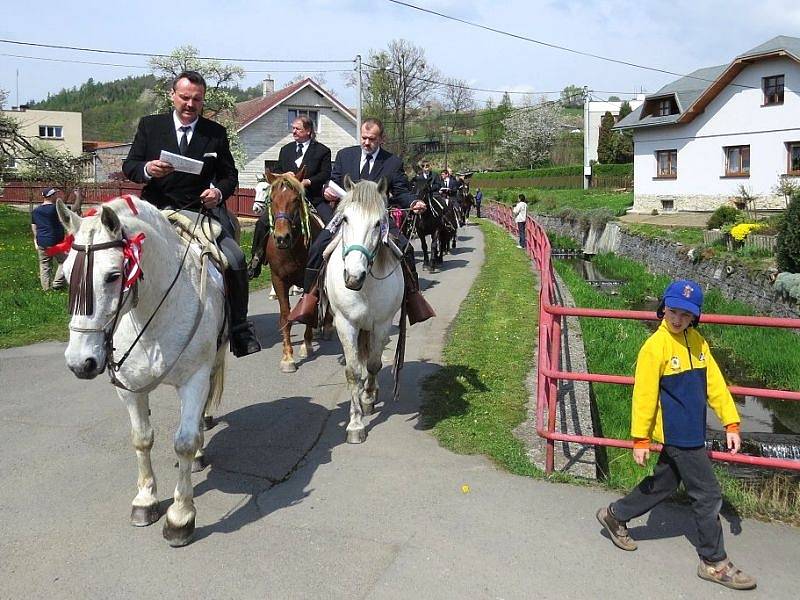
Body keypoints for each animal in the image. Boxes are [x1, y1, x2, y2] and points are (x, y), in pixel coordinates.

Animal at [56, 197, 227, 548]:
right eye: (66, 275)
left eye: (112, 276)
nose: (80, 362)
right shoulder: (130, 389)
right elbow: (142, 438)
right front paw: (146, 501)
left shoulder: (195, 379)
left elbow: (184, 442)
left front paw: (180, 517)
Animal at [264, 169, 324, 370]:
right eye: (271, 199)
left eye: (296, 199)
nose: (282, 238)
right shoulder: (279, 280)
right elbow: (285, 315)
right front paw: (287, 357)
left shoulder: (311, 280)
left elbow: (307, 310)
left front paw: (306, 346)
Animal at [324, 180, 404, 442]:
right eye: (345, 219)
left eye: (378, 223)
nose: (352, 276)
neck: (365, 285)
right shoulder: (345, 323)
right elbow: (353, 371)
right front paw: (355, 424)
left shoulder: (382, 324)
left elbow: (374, 365)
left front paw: (368, 398)